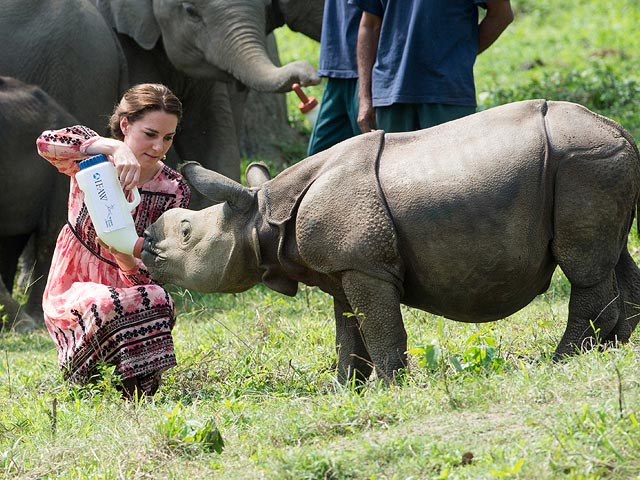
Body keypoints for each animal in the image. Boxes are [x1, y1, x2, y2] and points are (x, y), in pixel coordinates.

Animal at [142, 99, 640, 384]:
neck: (263, 215)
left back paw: (563, 360)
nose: (145, 245)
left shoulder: (365, 265)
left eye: (186, 232)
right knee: (613, 256)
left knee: (584, 267)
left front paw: (389, 386)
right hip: (595, 163)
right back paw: (612, 348)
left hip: (582, 162)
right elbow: (348, 329)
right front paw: (344, 388)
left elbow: (380, 327)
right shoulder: (343, 267)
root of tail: (619, 129)